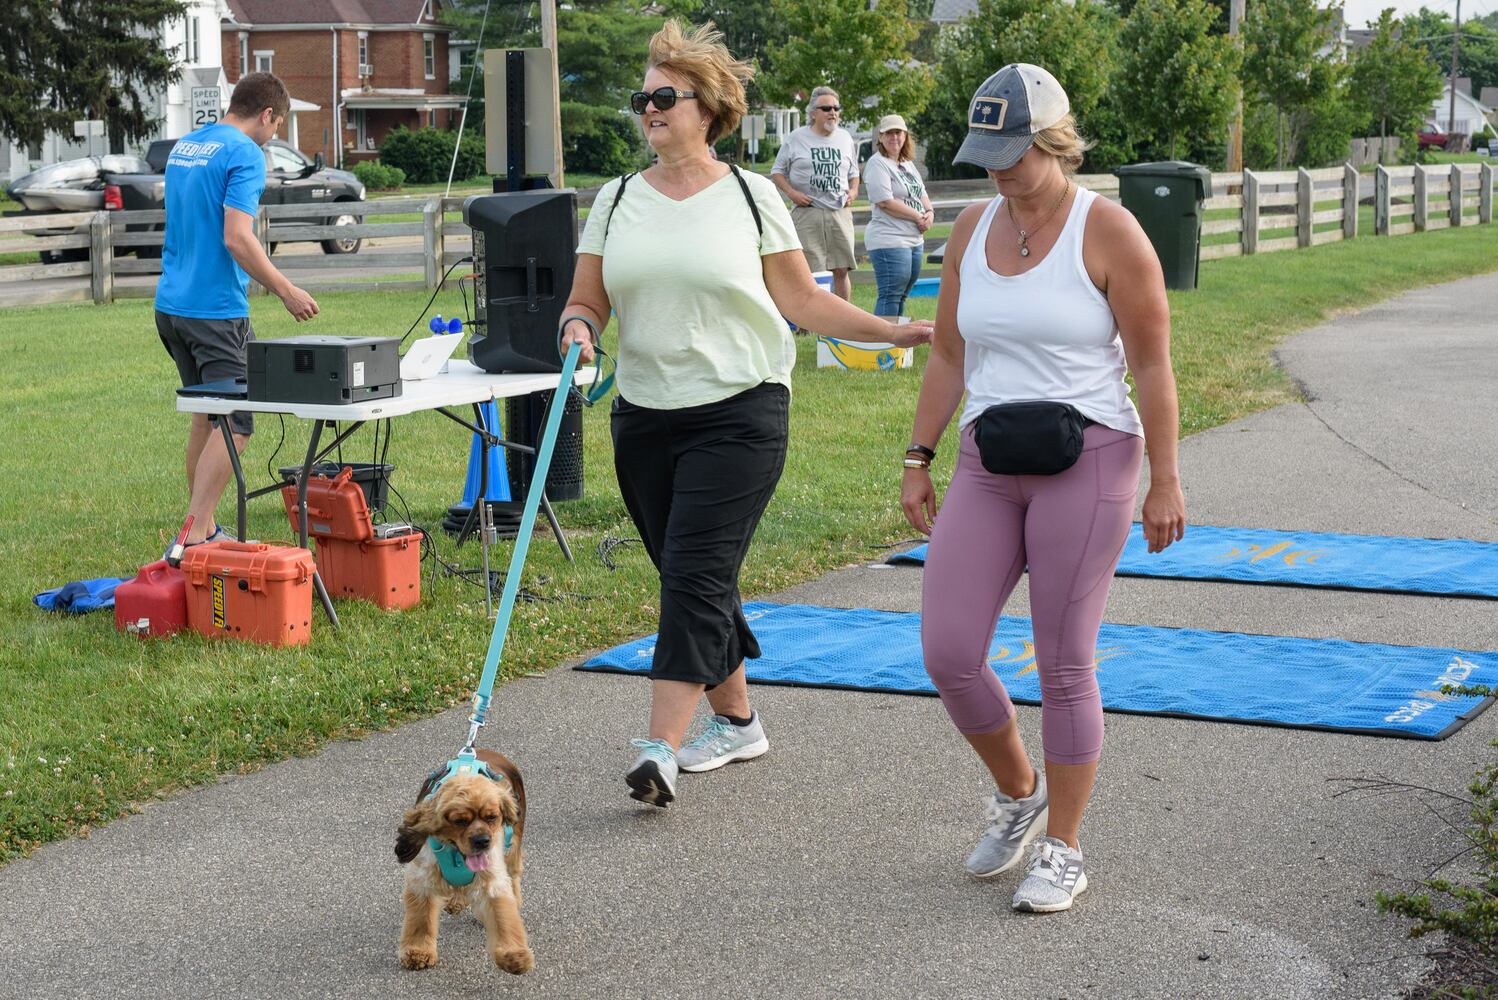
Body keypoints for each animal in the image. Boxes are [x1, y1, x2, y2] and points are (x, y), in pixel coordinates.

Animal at [395, 745, 536, 970]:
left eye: (492, 817)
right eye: (460, 821)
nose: (483, 841)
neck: (456, 853)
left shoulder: (492, 879)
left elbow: (504, 916)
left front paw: (514, 955)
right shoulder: (422, 880)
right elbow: (420, 921)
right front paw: (418, 952)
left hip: (513, 849)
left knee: (513, 876)